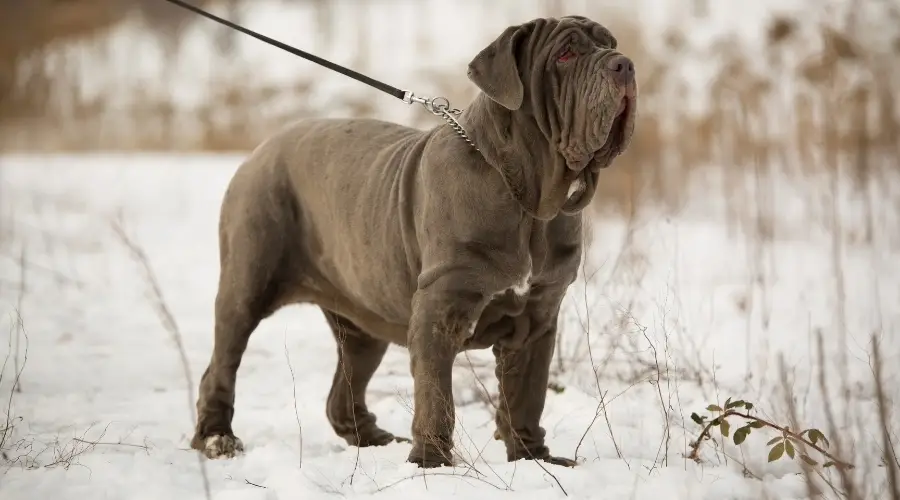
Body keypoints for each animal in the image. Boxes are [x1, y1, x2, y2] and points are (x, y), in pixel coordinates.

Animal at [191, 15, 640, 468]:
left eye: (610, 44)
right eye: (565, 54)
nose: (624, 64)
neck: (528, 199)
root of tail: (261, 149)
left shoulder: (538, 316)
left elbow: (526, 396)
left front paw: (534, 459)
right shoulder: (439, 307)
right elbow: (436, 393)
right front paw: (432, 462)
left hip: (363, 322)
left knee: (343, 391)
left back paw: (375, 438)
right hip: (246, 286)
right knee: (221, 365)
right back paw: (216, 438)